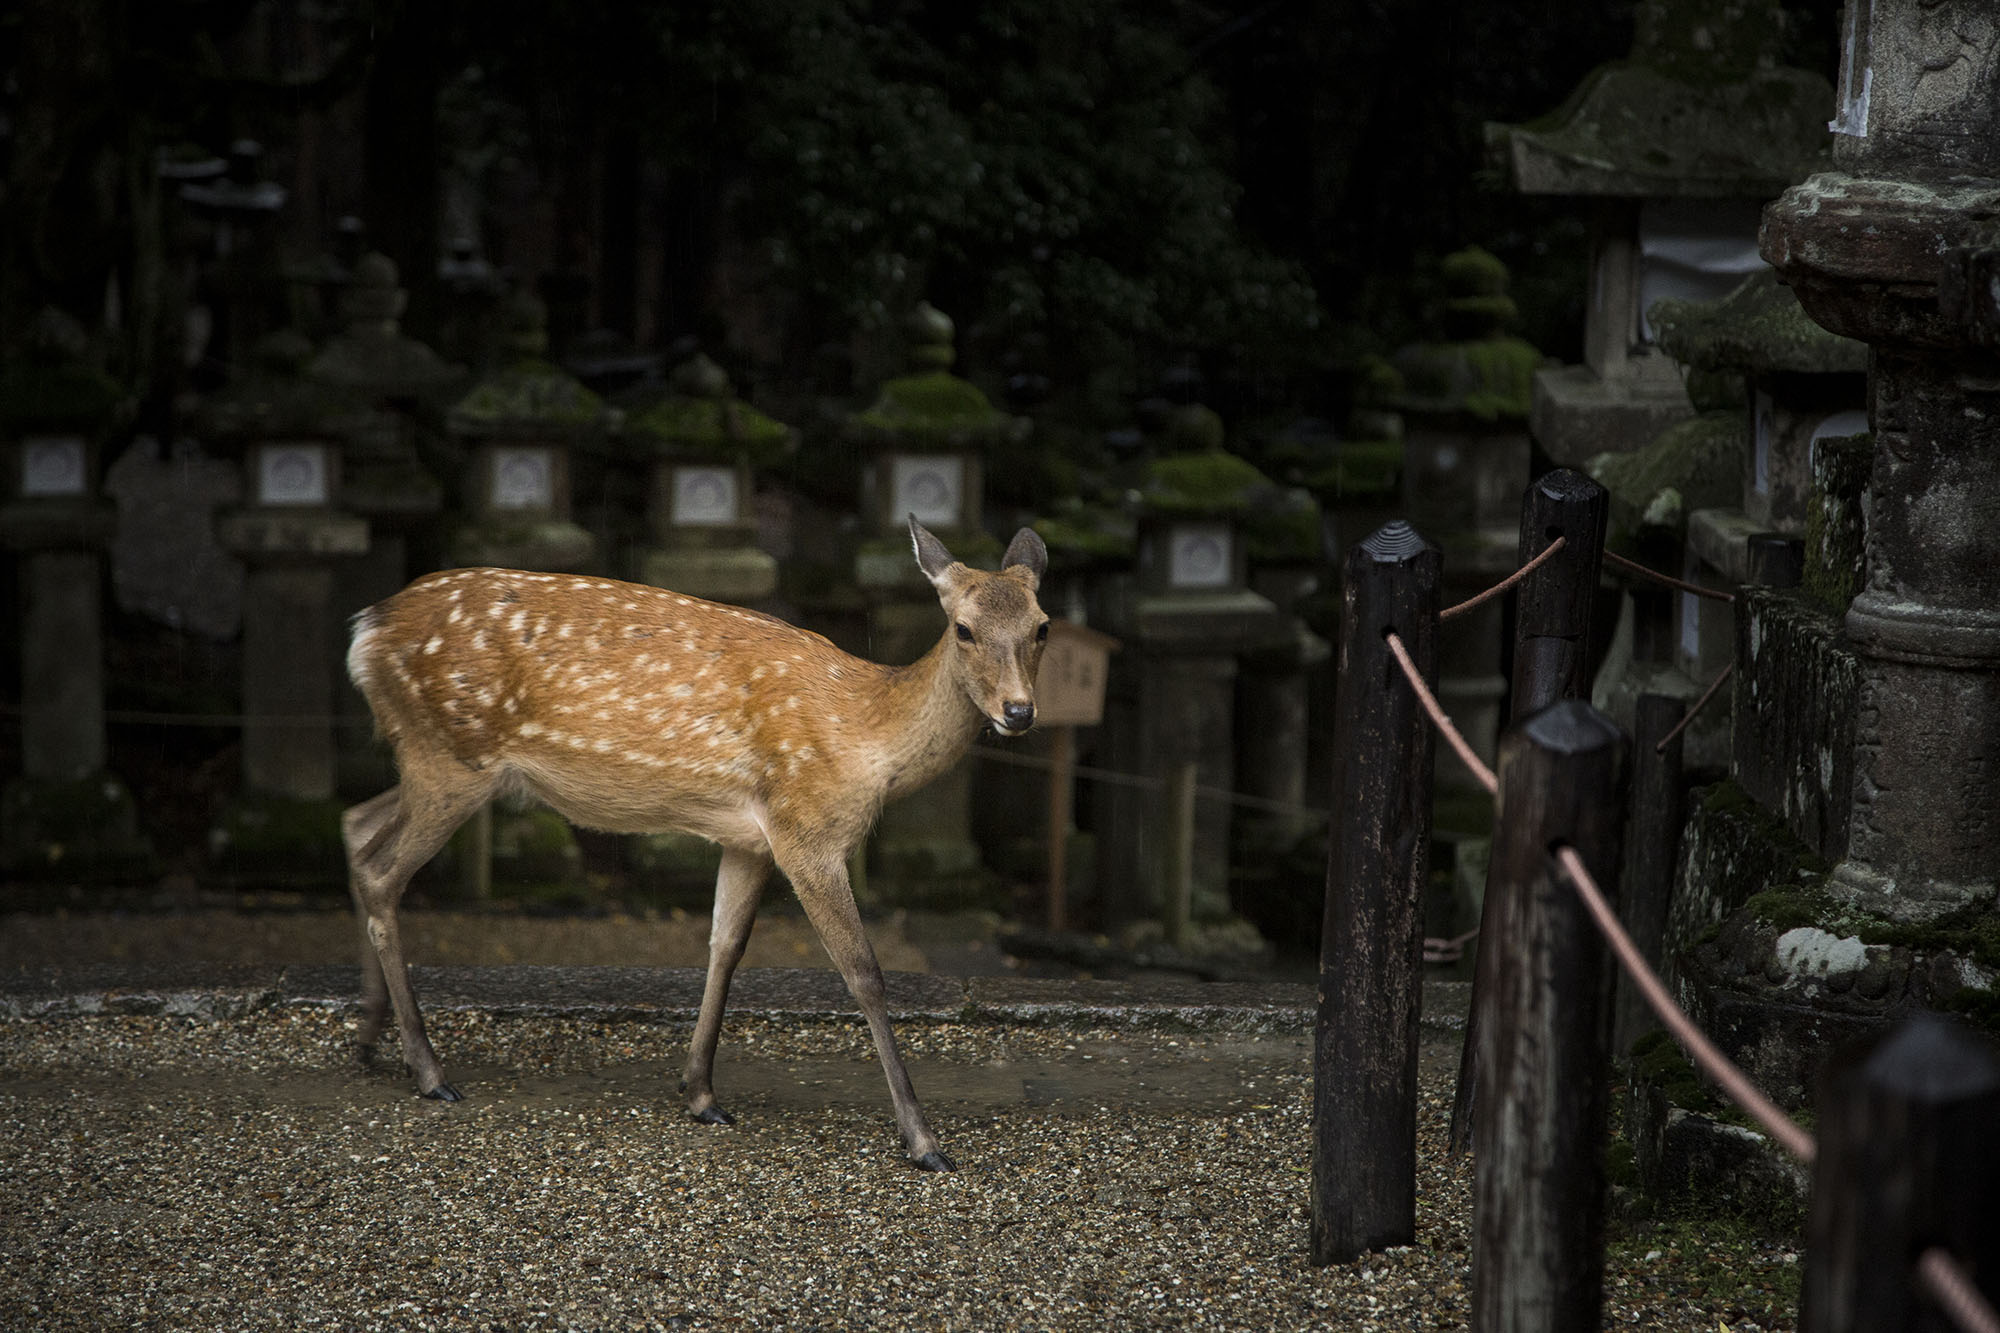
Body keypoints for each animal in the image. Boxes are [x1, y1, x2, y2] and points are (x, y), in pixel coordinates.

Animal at [340, 512, 1048, 1168]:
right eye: (962, 628)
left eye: (1042, 626)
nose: (1019, 712)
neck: (868, 741)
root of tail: (364, 631)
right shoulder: (806, 830)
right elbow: (863, 974)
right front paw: (924, 1141)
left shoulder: (750, 838)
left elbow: (724, 947)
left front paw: (700, 1093)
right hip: (450, 757)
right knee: (381, 869)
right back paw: (429, 1072)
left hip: (434, 762)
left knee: (356, 824)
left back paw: (371, 1042)